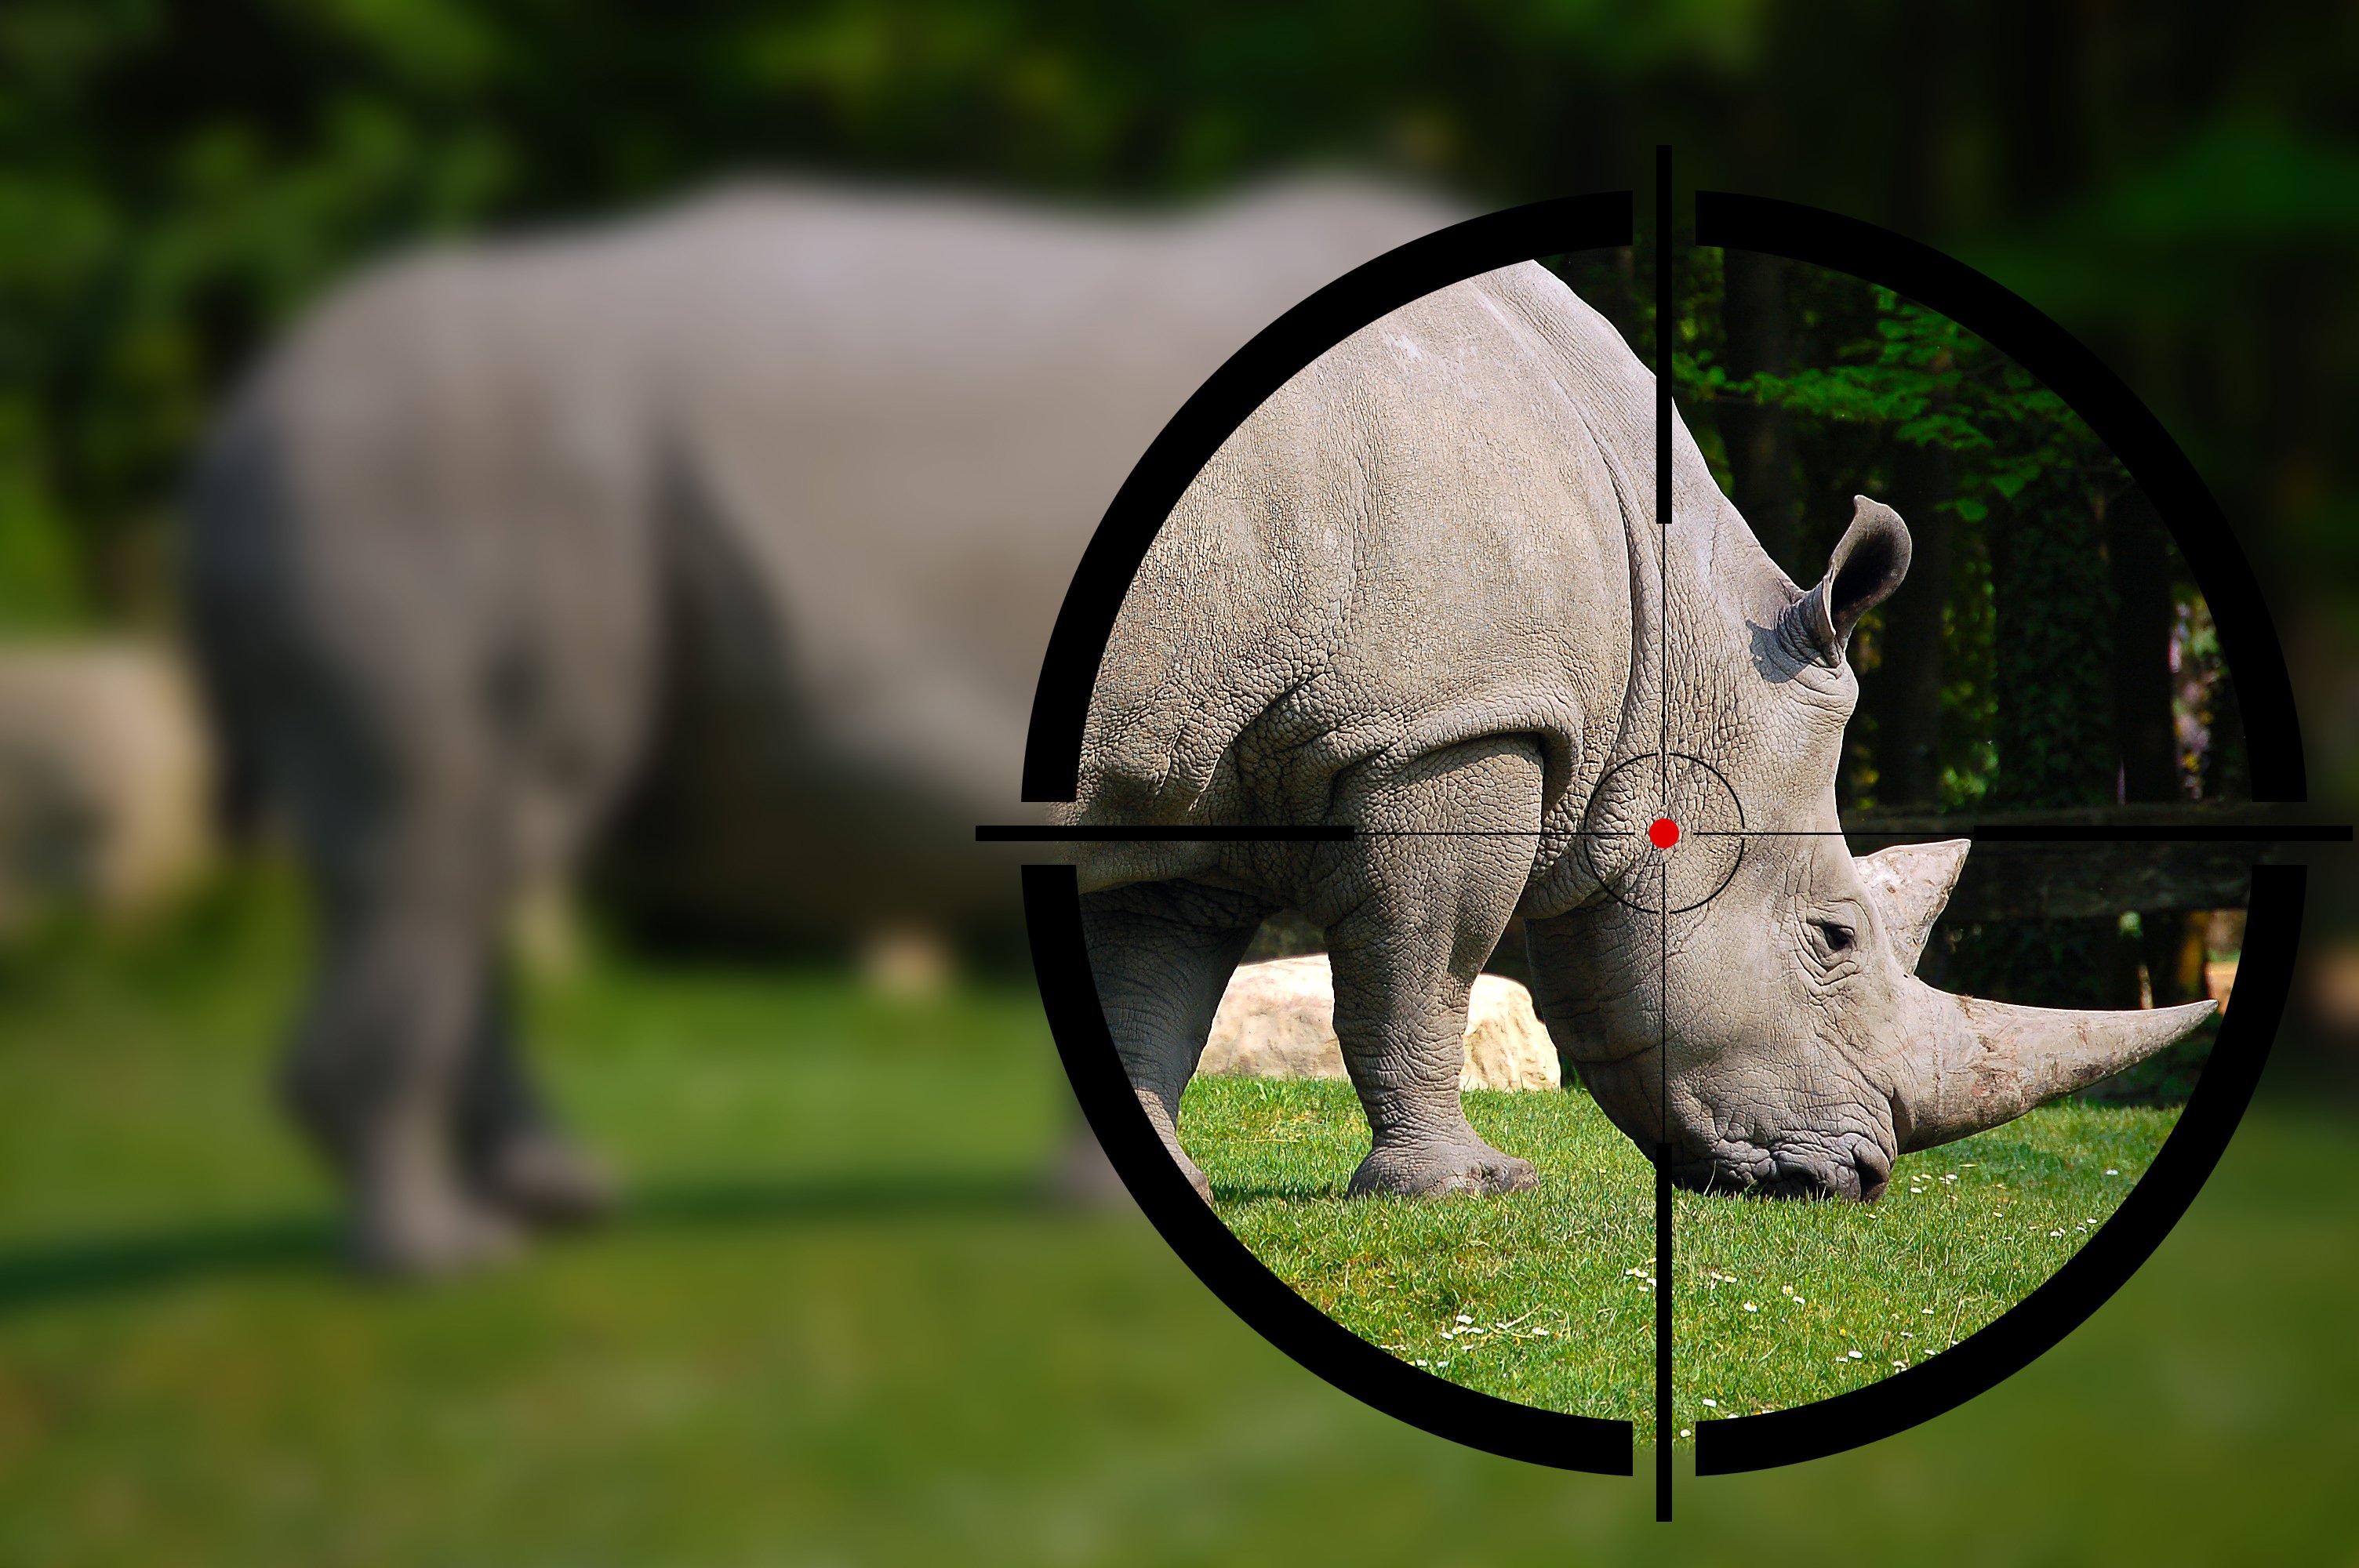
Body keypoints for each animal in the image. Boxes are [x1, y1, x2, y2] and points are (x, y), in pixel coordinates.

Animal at [182, 177, 1463, 1274]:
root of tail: (236, 430)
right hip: (420, 481)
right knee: (451, 838)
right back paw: (445, 1260)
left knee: (459, 852)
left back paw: (546, 1202)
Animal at [1067, 260, 2213, 1202]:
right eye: (1833, 937)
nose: (1860, 1178)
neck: (1671, 636)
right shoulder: (1450, 724)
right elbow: (1422, 969)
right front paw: (1473, 1187)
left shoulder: (1199, 756)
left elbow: (1151, 987)